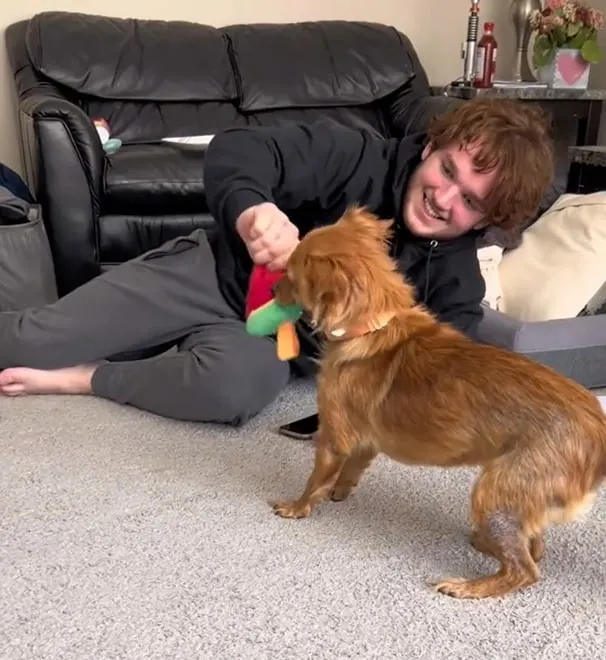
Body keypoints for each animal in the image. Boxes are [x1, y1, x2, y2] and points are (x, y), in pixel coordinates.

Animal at [274, 209, 604, 600]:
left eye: (290, 275)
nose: (270, 290)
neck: (373, 326)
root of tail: (598, 430)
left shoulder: (333, 438)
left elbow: (315, 479)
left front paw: (298, 506)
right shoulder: (364, 442)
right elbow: (352, 467)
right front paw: (341, 490)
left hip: (496, 491)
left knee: (524, 569)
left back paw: (469, 586)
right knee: (534, 545)